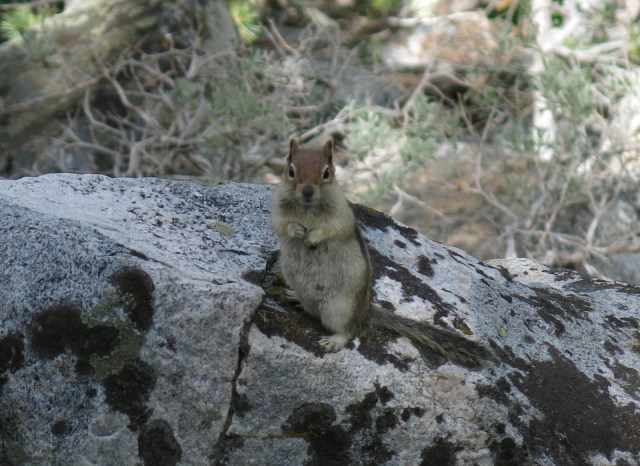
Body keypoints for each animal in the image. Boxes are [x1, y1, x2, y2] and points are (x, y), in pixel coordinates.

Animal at [270, 138, 496, 367]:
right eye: (291, 171)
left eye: (326, 173)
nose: (307, 191)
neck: (307, 208)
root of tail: (365, 310)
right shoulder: (278, 210)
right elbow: (281, 225)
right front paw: (296, 230)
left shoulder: (341, 214)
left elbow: (332, 229)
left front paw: (312, 237)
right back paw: (295, 297)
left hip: (339, 308)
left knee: (350, 329)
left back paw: (334, 340)